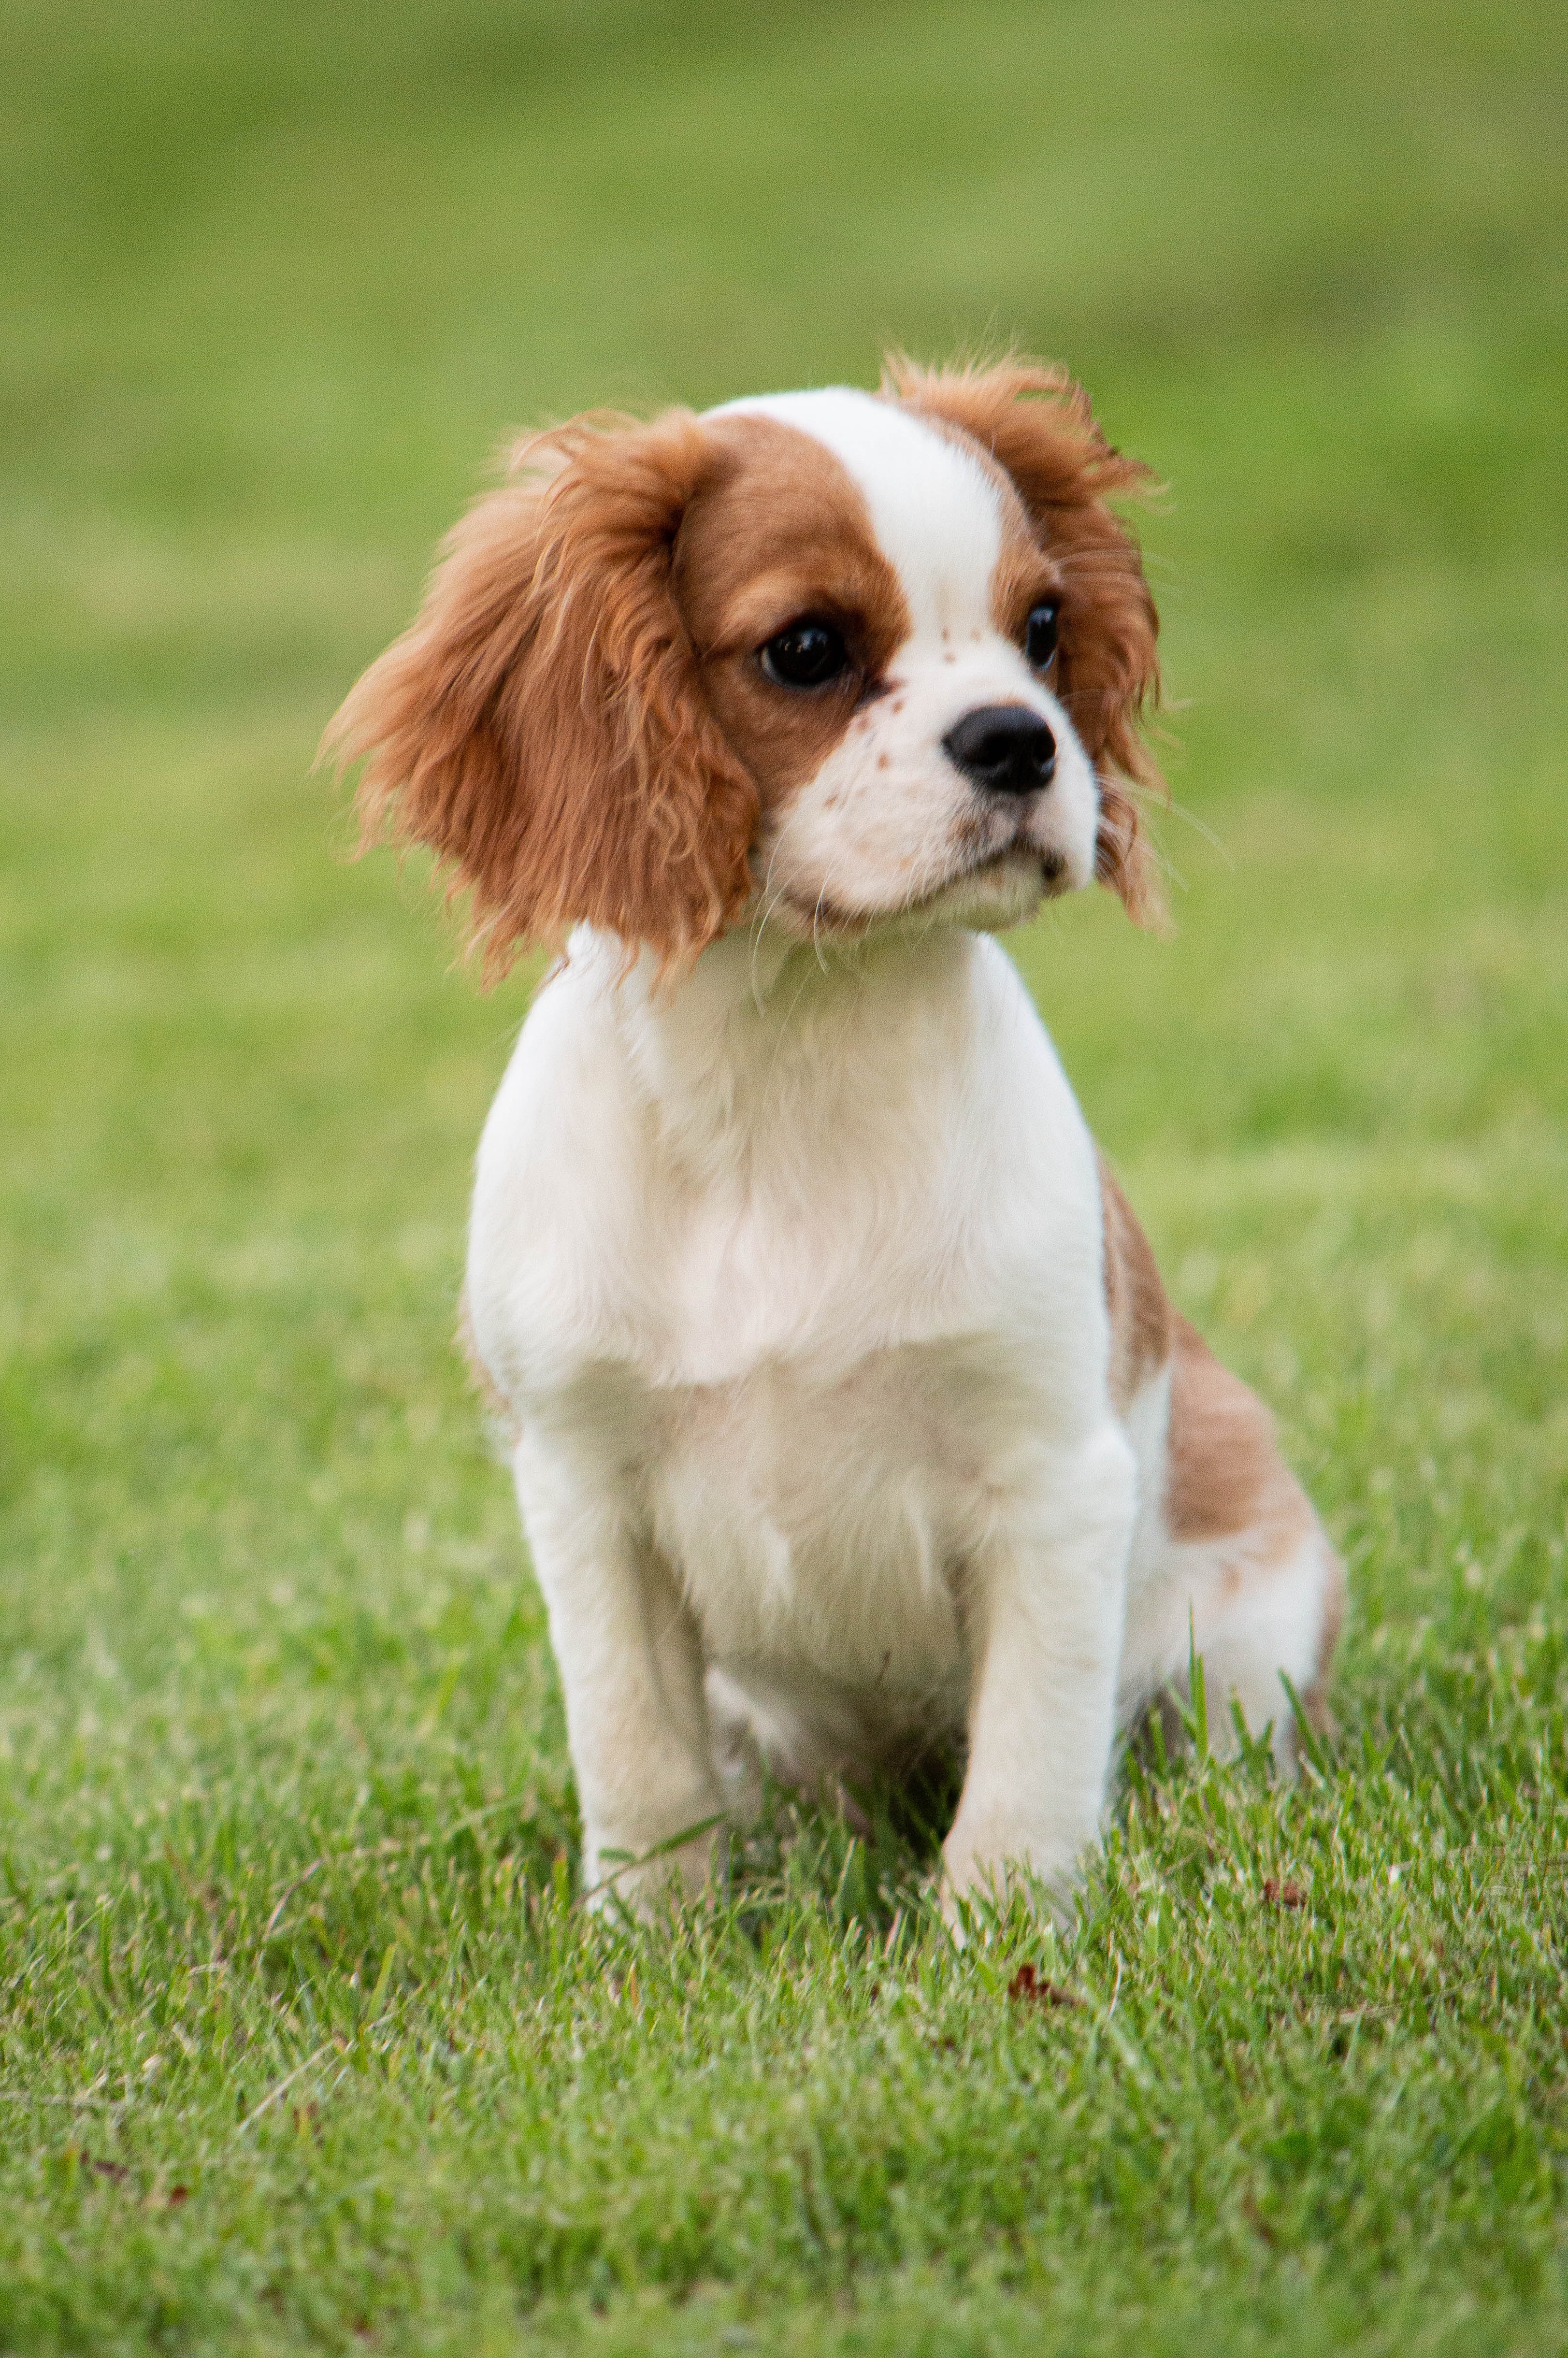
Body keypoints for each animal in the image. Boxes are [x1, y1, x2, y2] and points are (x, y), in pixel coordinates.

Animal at [323, 358, 1339, 1924]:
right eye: (804, 649)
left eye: (1041, 629)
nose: (1019, 739)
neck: (789, 1054)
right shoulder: (581, 1486)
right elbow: (639, 1760)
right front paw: (651, 1942)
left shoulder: (1054, 1476)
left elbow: (1029, 1761)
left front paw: (999, 1939)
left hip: (1252, 1613)